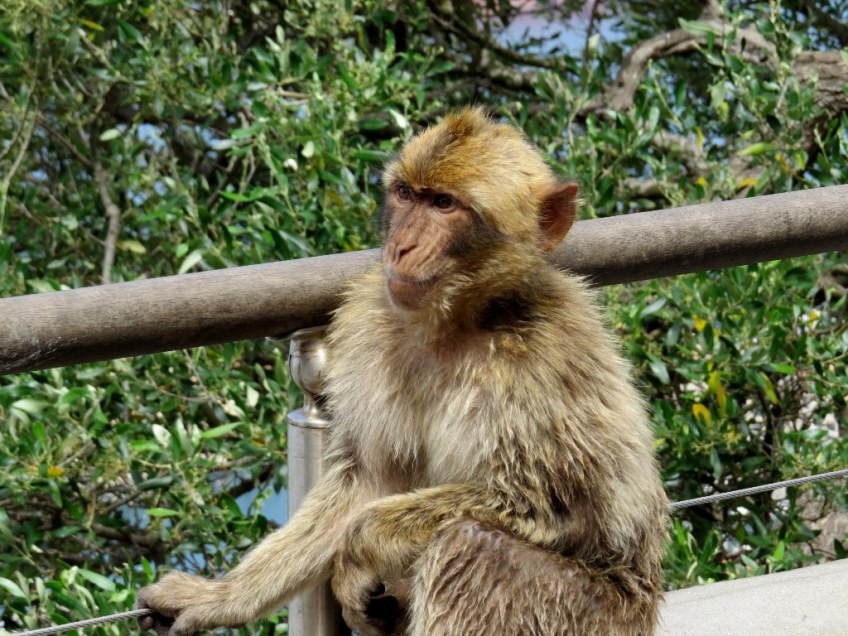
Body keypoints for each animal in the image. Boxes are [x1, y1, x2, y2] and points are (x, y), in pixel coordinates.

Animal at [137, 106, 668, 636]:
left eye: (444, 204)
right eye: (407, 194)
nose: (402, 246)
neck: (454, 323)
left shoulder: (541, 362)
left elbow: (554, 505)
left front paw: (358, 547)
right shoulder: (369, 325)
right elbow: (363, 482)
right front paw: (223, 596)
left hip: (589, 614)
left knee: (471, 547)